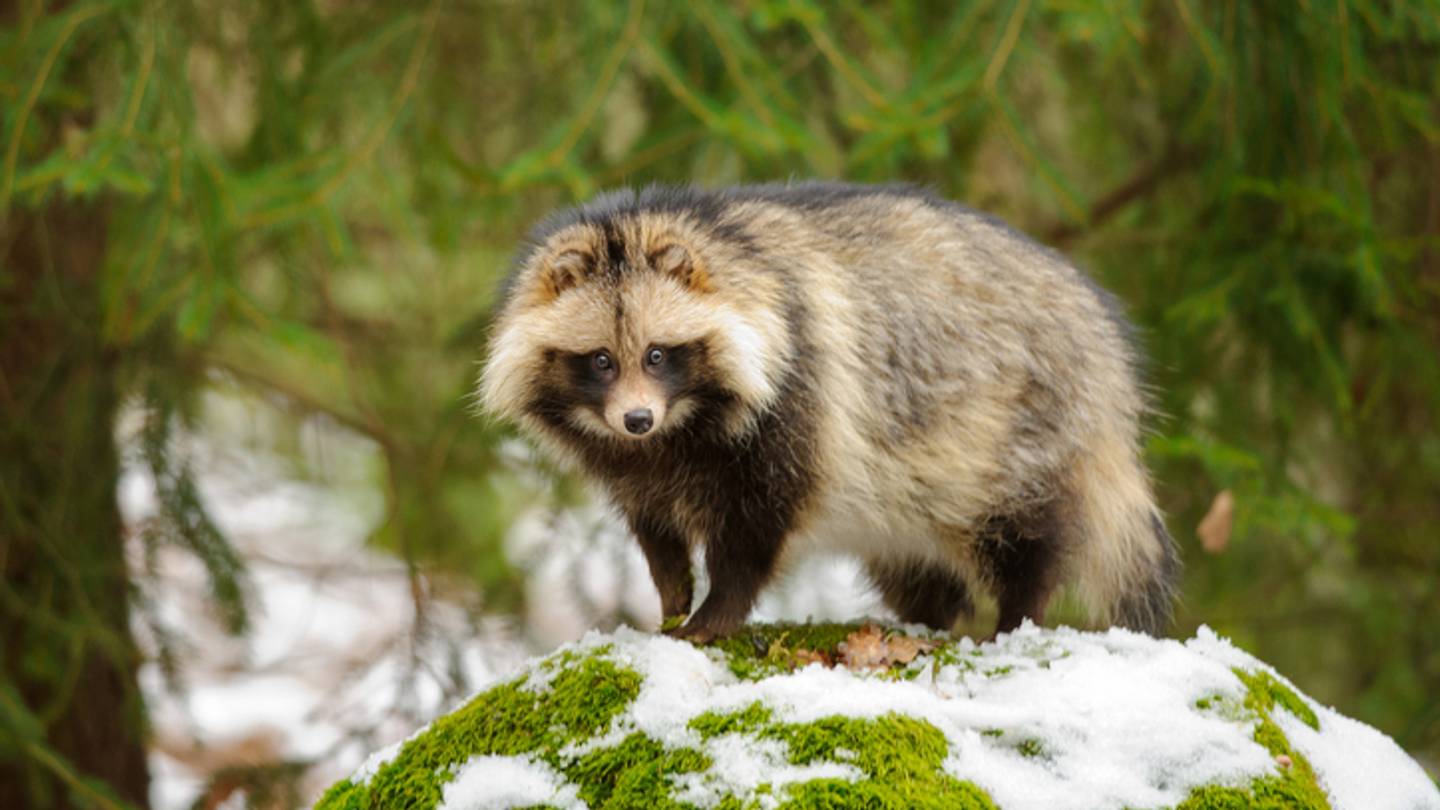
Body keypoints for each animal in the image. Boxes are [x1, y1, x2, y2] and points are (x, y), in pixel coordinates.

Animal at [480, 182, 1179, 643]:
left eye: (657, 354)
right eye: (601, 361)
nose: (636, 420)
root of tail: (1106, 346)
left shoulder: (799, 393)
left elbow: (758, 525)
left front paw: (715, 611)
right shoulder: (632, 463)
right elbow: (655, 527)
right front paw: (673, 593)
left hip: (1022, 427)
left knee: (1026, 536)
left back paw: (1016, 617)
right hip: (917, 493)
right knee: (918, 567)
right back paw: (927, 618)